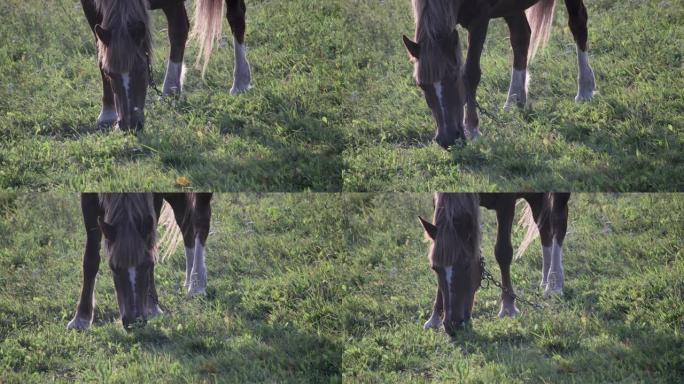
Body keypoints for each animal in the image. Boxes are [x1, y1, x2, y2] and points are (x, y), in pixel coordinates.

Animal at [67, 192, 212, 330]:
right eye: (113, 268)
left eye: (146, 265)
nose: (134, 322)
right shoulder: (88, 199)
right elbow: (91, 258)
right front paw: (82, 318)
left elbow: (151, 244)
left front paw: (152, 308)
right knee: (185, 222)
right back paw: (189, 281)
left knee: (201, 219)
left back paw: (197, 285)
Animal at [81, 0, 251, 131]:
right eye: (108, 73)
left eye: (142, 69)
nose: (130, 126)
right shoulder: (90, 7)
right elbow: (100, 51)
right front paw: (107, 114)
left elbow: (178, 32)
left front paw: (170, 90)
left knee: (236, 16)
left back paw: (240, 82)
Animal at [404, 0, 596, 148]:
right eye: (421, 85)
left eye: (453, 77)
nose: (447, 139)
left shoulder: (480, 19)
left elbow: (471, 72)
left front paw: (472, 128)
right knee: (521, 37)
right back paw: (514, 101)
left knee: (578, 22)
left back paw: (585, 89)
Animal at [416, 194, 572, 334]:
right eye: (435, 268)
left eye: (466, 265)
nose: (451, 325)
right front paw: (434, 319)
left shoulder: (505, 203)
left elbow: (503, 252)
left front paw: (508, 307)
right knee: (543, 226)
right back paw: (546, 280)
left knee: (558, 222)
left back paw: (554, 284)